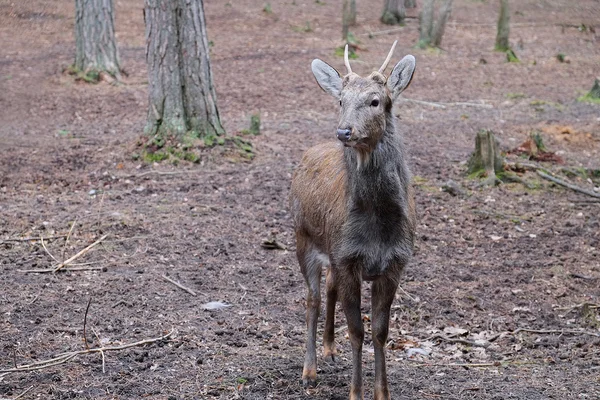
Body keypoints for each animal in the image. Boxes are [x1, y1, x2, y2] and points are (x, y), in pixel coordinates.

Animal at [290, 41, 418, 400]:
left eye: (375, 101)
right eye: (341, 100)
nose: (344, 130)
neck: (378, 227)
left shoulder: (394, 263)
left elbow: (380, 332)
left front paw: (382, 393)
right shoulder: (348, 260)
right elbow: (357, 331)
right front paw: (355, 392)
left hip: (332, 252)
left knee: (329, 287)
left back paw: (330, 350)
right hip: (303, 239)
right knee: (312, 298)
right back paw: (309, 371)